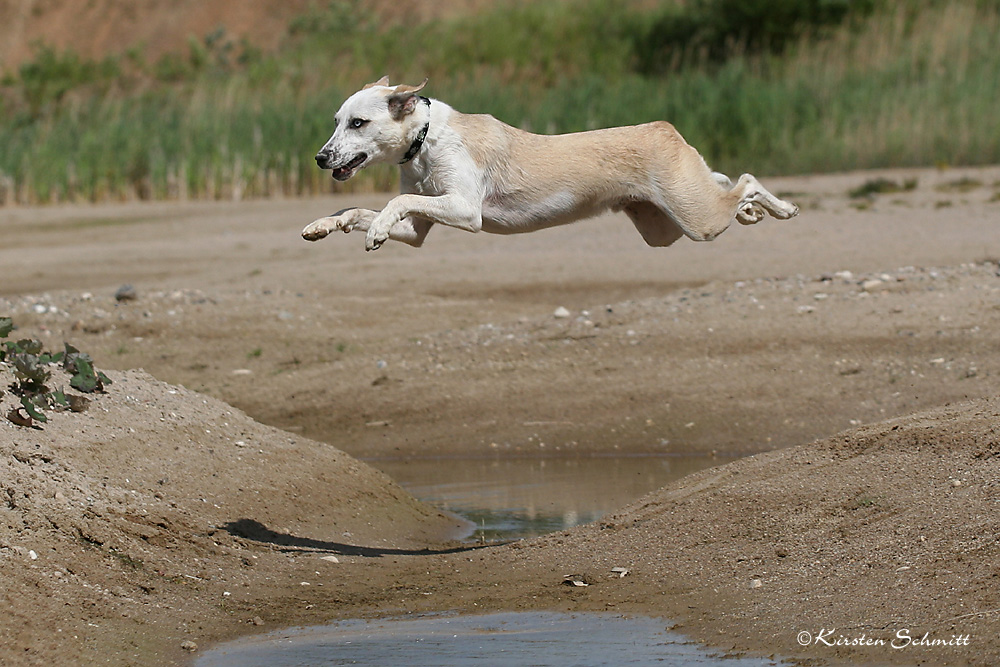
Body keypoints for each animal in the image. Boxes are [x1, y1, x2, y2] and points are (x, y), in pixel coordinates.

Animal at [300, 77, 800, 253]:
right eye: (337, 121)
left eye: (359, 122)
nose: (321, 158)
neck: (424, 139)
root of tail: (667, 130)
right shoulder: (420, 228)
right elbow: (363, 210)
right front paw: (326, 225)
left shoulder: (465, 210)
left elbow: (394, 202)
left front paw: (376, 231)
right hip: (664, 227)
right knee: (725, 182)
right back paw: (754, 213)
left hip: (697, 220)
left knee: (746, 181)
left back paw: (782, 209)